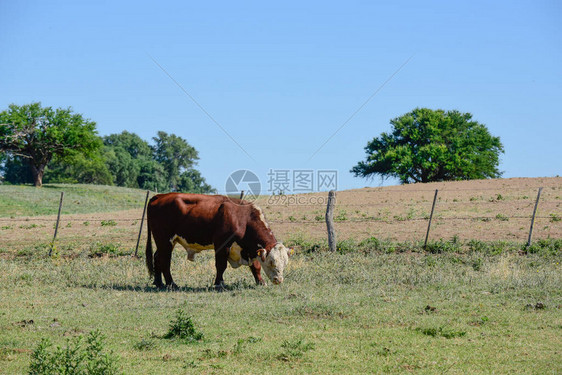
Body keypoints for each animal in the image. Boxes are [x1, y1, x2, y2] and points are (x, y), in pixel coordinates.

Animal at [144, 192, 290, 290]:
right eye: (271, 262)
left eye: (285, 263)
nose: (279, 280)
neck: (243, 218)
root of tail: (160, 196)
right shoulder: (222, 244)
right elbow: (221, 265)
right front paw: (219, 283)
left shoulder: (250, 249)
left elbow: (256, 266)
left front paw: (260, 282)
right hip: (165, 240)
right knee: (165, 261)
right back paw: (171, 284)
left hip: (166, 242)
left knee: (157, 257)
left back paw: (159, 283)